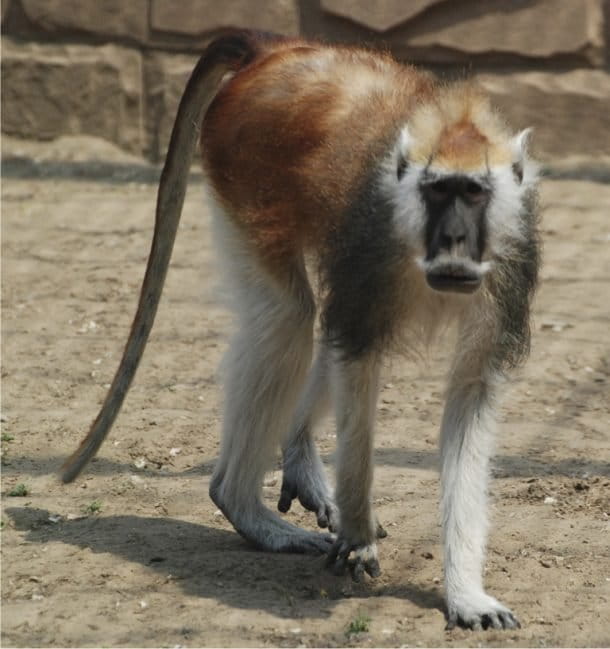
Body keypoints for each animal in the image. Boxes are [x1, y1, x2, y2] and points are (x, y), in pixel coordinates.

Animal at [61, 30, 540, 631]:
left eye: (474, 193)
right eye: (437, 192)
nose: (454, 237)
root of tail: (274, 49)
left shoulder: (508, 268)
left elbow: (469, 396)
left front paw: (466, 592)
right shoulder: (369, 247)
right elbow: (355, 356)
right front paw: (358, 533)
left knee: (307, 325)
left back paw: (293, 454)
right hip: (239, 164)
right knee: (289, 316)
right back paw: (242, 505)